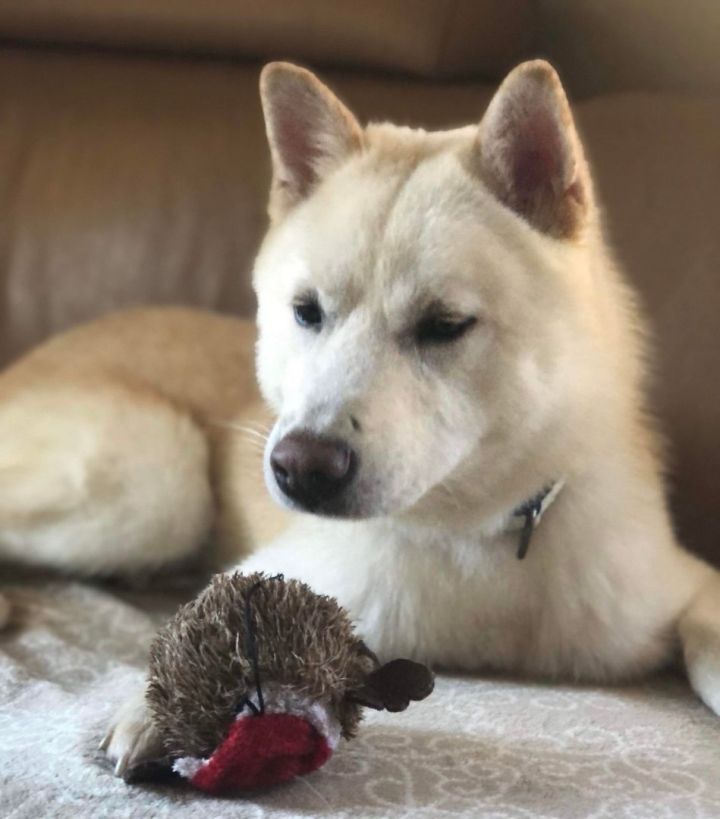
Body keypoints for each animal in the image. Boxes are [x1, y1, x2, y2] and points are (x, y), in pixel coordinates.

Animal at [1, 62, 720, 776]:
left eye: (444, 325)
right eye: (306, 311)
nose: (300, 469)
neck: (470, 537)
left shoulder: (684, 583)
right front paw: (159, 710)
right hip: (154, 486)